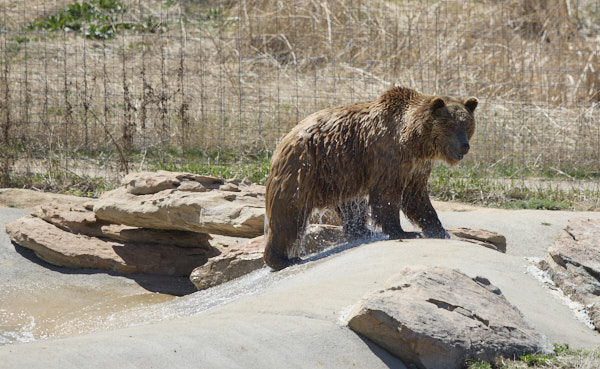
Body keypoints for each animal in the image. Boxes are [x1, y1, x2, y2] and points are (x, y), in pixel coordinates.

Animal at [262, 86, 478, 270]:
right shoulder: (387, 155)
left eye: (467, 125)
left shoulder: (417, 168)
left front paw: (439, 230)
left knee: (350, 206)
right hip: (305, 171)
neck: (414, 142)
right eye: (450, 125)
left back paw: (362, 232)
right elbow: (387, 195)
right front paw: (404, 231)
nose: (464, 146)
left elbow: (417, 198)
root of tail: (283, 140)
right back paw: (283, 259)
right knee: (289, 214)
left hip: (340, 174)